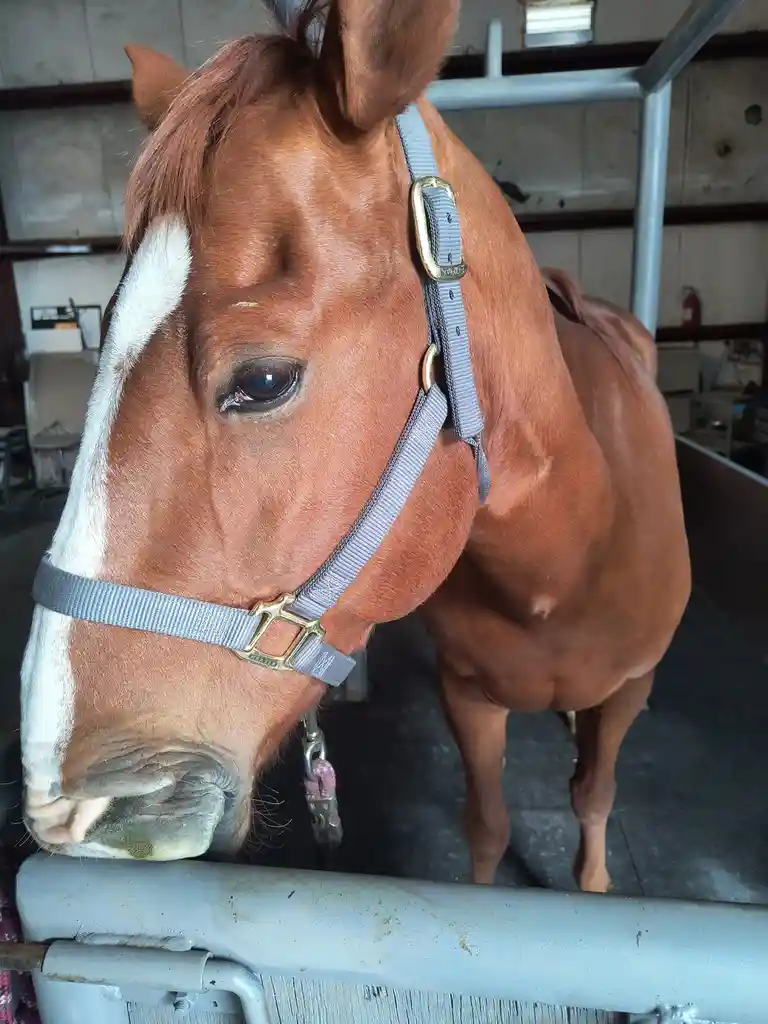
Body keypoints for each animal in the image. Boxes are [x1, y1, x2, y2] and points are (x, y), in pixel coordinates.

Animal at [20, 0, 690, 892]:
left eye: (264, 380)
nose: (68, 809)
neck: (570, 552)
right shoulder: (468, 696)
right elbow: (487, 825)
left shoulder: (630, 692)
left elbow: (592, 799)